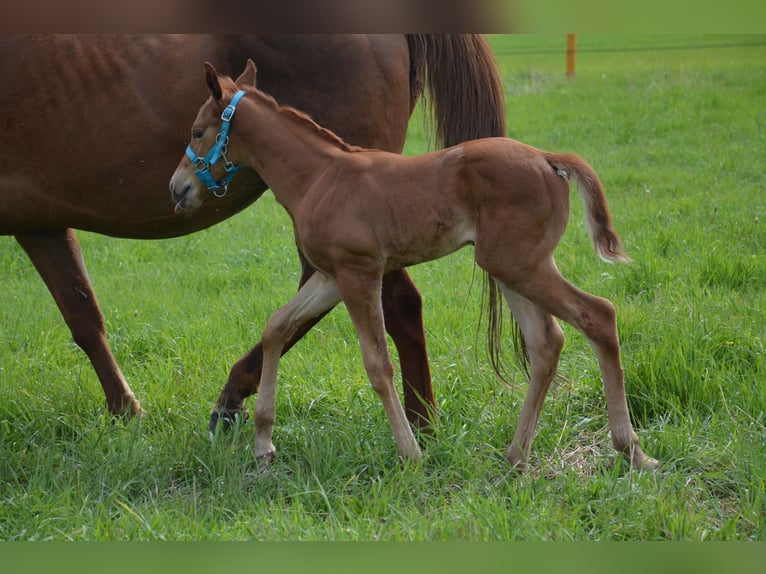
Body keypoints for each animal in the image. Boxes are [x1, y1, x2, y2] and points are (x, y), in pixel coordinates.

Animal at [0, 34, 505, 432]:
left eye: (197, 131)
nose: (175, 187)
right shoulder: (41, 223)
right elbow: (84, 317)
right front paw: (126, 412)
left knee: (391, 301)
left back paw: (416, 423)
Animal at [169, 60, 659, 471]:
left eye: (196, 131)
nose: (177, 188)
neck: (320, 178)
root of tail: (549, 159)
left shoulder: (359, 272)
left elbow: (377, 363)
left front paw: (410, 453)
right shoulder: (330, 277)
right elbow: (276, 327)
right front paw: (263, 443)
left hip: (518, 264)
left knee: (598, 315)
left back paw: (631, 450)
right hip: (511, 266)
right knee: (546, 343)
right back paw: (517, 455)